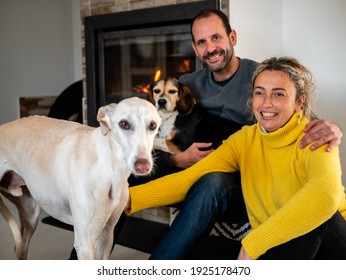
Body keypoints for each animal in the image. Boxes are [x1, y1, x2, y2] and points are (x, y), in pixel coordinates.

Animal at [0, 97, 160, 260]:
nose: (143, 165)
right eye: (124, 124)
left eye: (153, 125)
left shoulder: (107, 234)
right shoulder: (85, 244)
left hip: (30, 213)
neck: (109, 168)